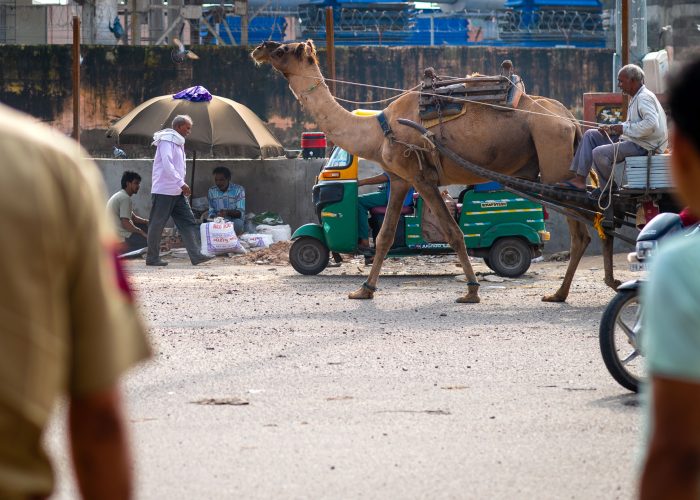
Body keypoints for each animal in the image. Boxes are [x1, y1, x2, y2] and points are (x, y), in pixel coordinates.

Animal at [252, 39, 616, 302]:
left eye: (282, 50)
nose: (258, 49)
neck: (377, 130)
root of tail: (569, 120)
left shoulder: (421, 177)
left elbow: (454, 234)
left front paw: (471, 291)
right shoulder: (400, 179)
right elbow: (384, 236)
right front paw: (364, 290)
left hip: (554, 159)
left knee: (584, 229)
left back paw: (573, 290)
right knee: (598, 220)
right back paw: (589, 286)